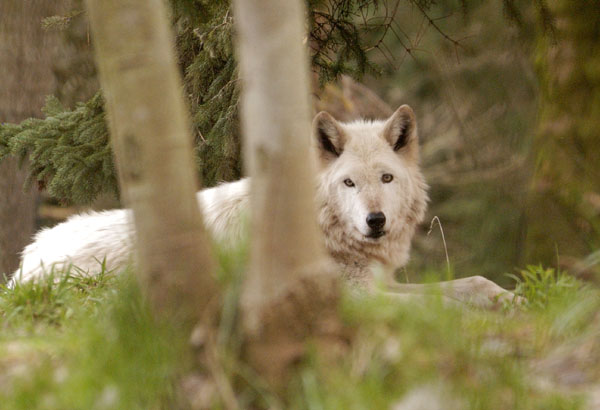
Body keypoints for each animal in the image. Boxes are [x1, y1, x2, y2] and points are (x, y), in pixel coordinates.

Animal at [7, 105, 516, 308]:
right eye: (349, 182)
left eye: (386, 179)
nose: (376, 221)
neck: (321, 227)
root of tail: (24, 260)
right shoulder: (356, 295)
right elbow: (439, 303)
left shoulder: (378, 282)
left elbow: (471, 283)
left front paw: (509, 297)